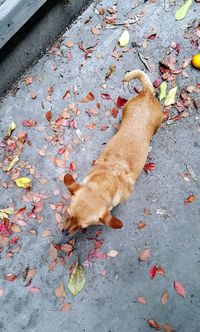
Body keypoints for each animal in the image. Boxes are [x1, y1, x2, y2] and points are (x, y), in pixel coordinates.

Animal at [63, 70, 163, 233]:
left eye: (81, 227)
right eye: (67, 214)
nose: (64, 232)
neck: (108, 178)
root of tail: (147, 93)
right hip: (126, 109)